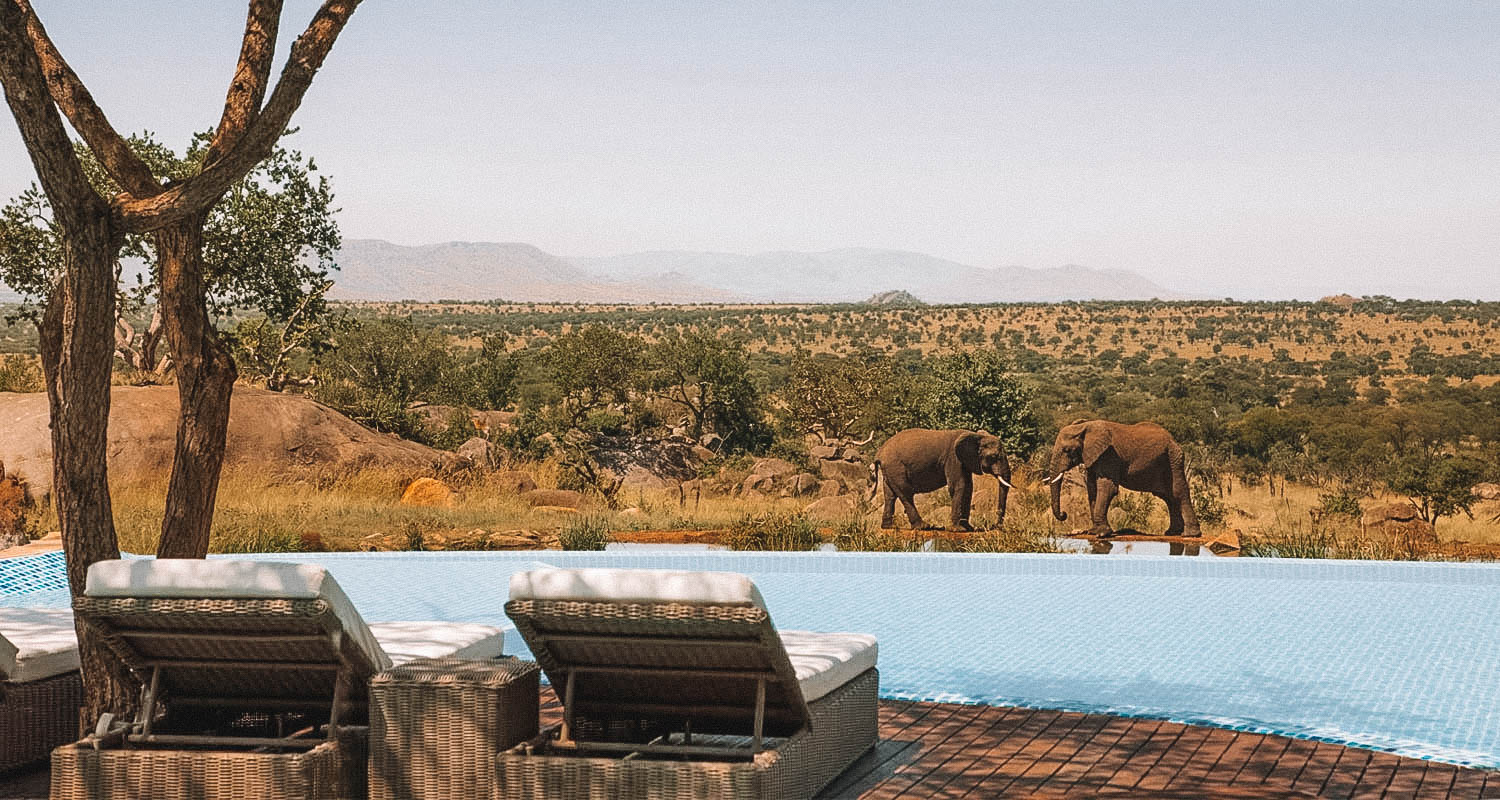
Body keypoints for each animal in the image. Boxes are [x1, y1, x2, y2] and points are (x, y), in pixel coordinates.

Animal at [876, 426, 1014, 534]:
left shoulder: (964, 462)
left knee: (890, 495)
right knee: (906, 493)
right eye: (994, 457)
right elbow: (959, 486)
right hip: (896, 467)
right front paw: (958, 530)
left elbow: (968, 487)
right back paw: (924, 527)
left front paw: (968, 528)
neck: (976, 436)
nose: (995, 526)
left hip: (890, 470)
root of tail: (880, 453)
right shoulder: (953, 458)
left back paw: (889, 527)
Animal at [1050, 417, 1200, 537]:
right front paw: (1093, 531)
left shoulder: (1109, 455)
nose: (1064, 514)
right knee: (1168, 497)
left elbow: (1107, 488)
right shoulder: (1093, 457)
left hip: (1173, 459)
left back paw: (1190, 535)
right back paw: (1172, 533)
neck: (1085, 426)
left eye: (1067, 450)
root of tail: (1173, 440)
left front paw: (1102, 534)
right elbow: (1092, 489)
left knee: (1178, 492)